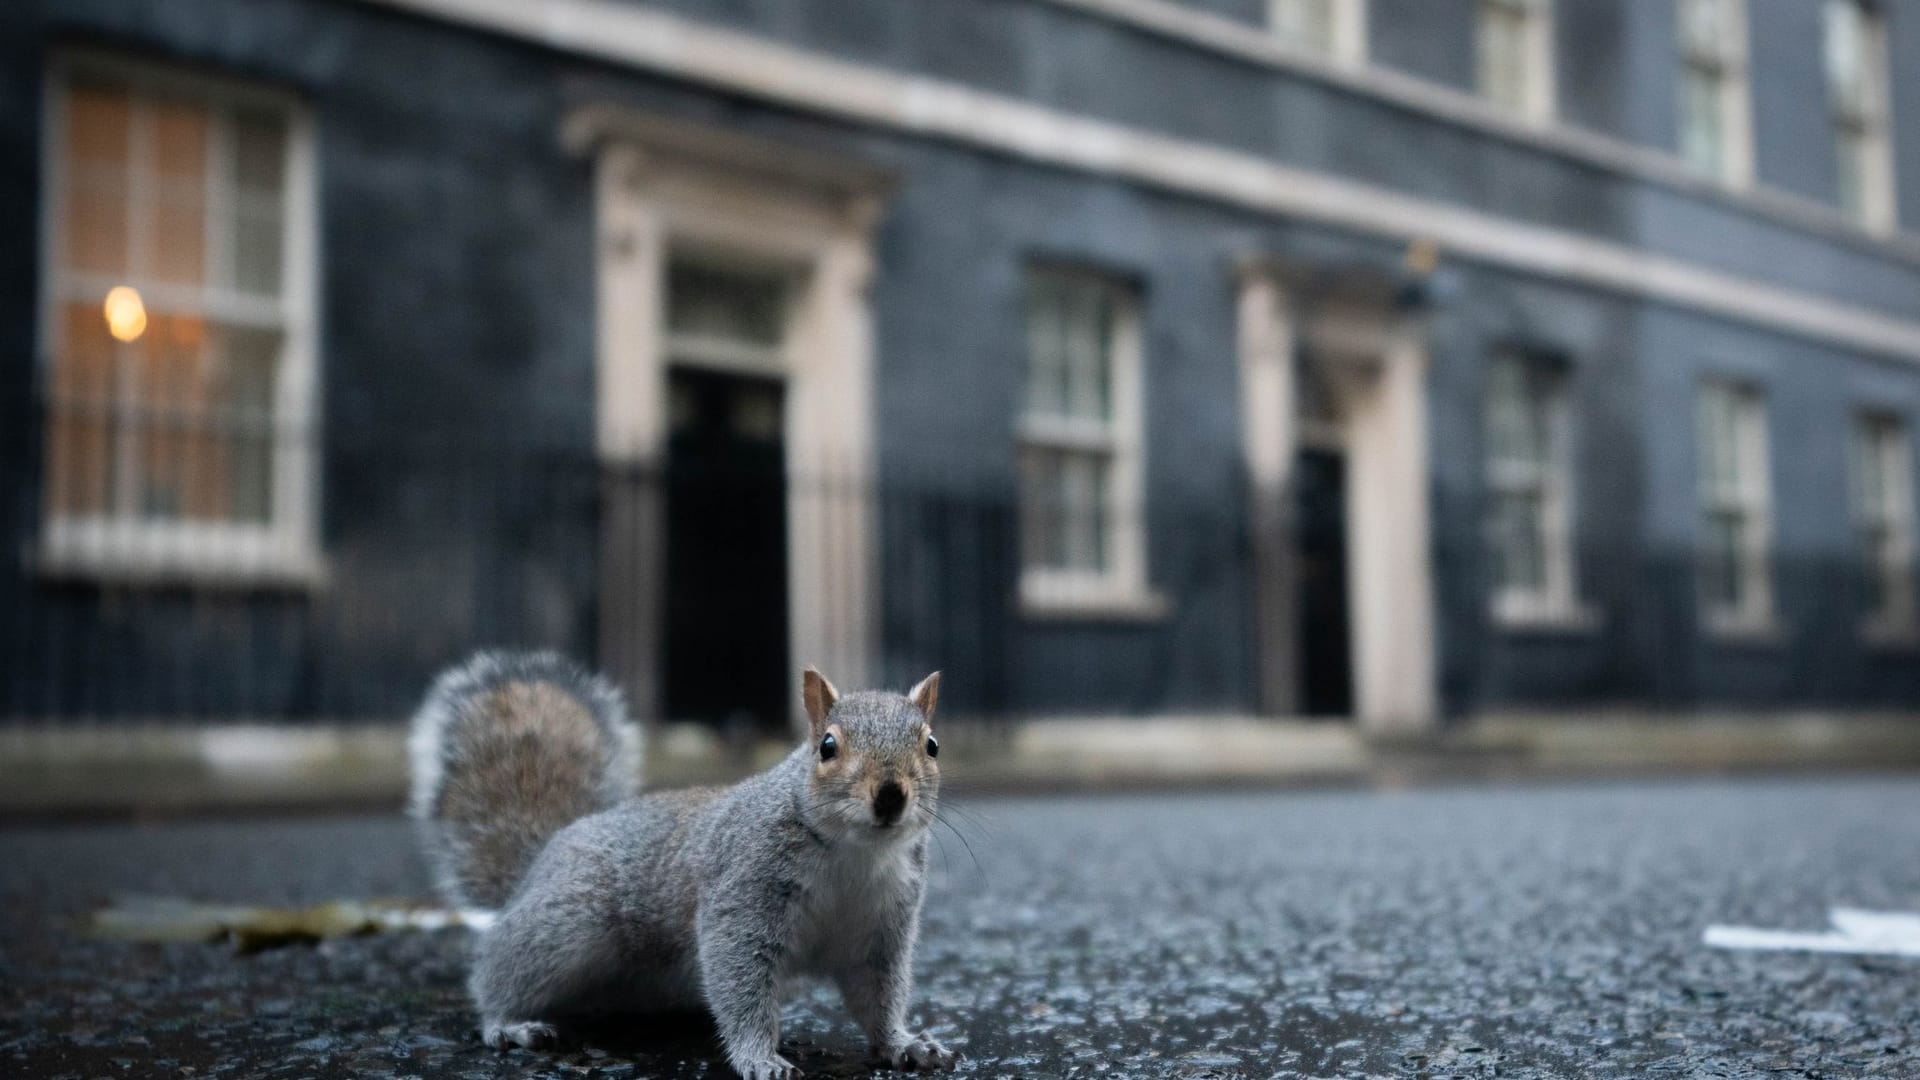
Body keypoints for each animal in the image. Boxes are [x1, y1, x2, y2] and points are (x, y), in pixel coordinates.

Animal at [407, 645, 960, 1076]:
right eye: (827, 746)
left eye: (932, 744)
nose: (890, 795)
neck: (855, 854)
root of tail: (540, 859)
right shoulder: (743, 891)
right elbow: (740, 977)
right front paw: (760, 1057)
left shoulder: (882, 926)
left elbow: (878, 992)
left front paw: (904, 1043)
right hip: (567, 923)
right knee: (499, 969)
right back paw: (509, 1023)